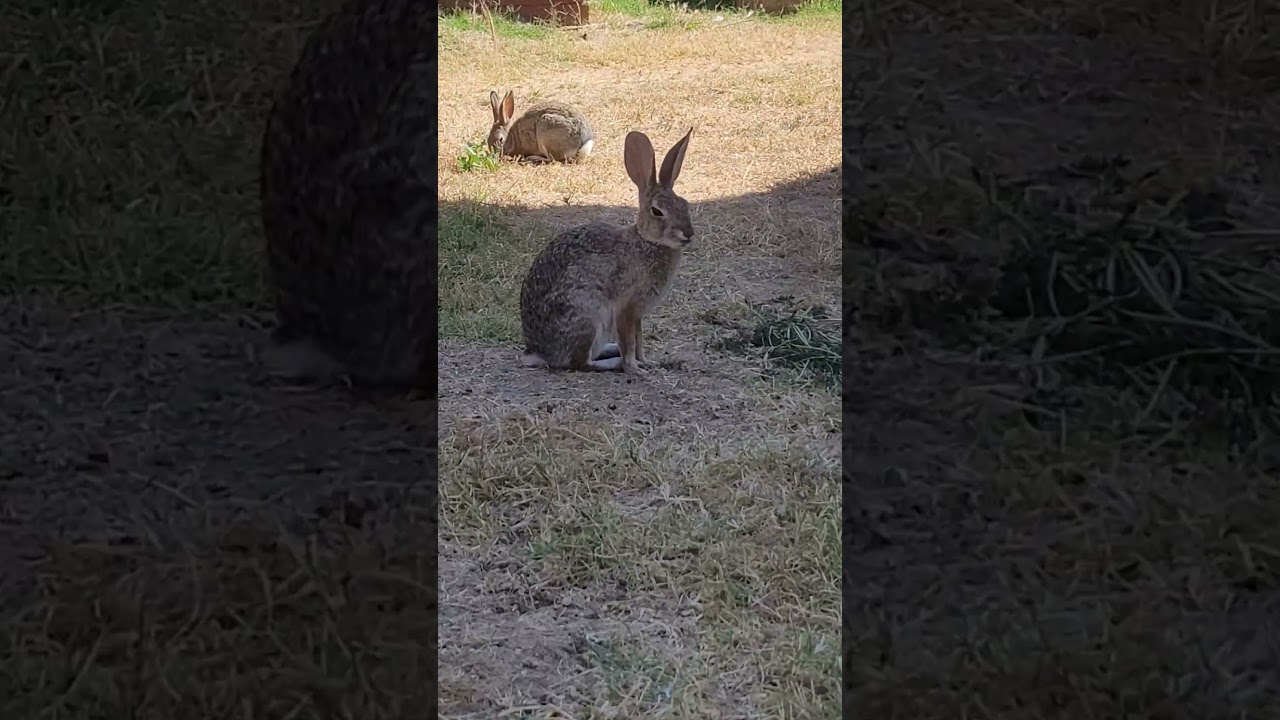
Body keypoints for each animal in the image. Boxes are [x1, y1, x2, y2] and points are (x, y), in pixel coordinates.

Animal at [520, 128, 695, 373]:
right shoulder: (626, 308)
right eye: (657, 211)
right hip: (589, 316)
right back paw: (615, 362)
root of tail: (539, 352)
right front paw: (635, 368)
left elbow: (638, 341)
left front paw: (646, 362)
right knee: (581, 362)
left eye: (685, 204)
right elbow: (628, 341)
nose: (688, 233)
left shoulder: (638, 314)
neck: (647, 242)